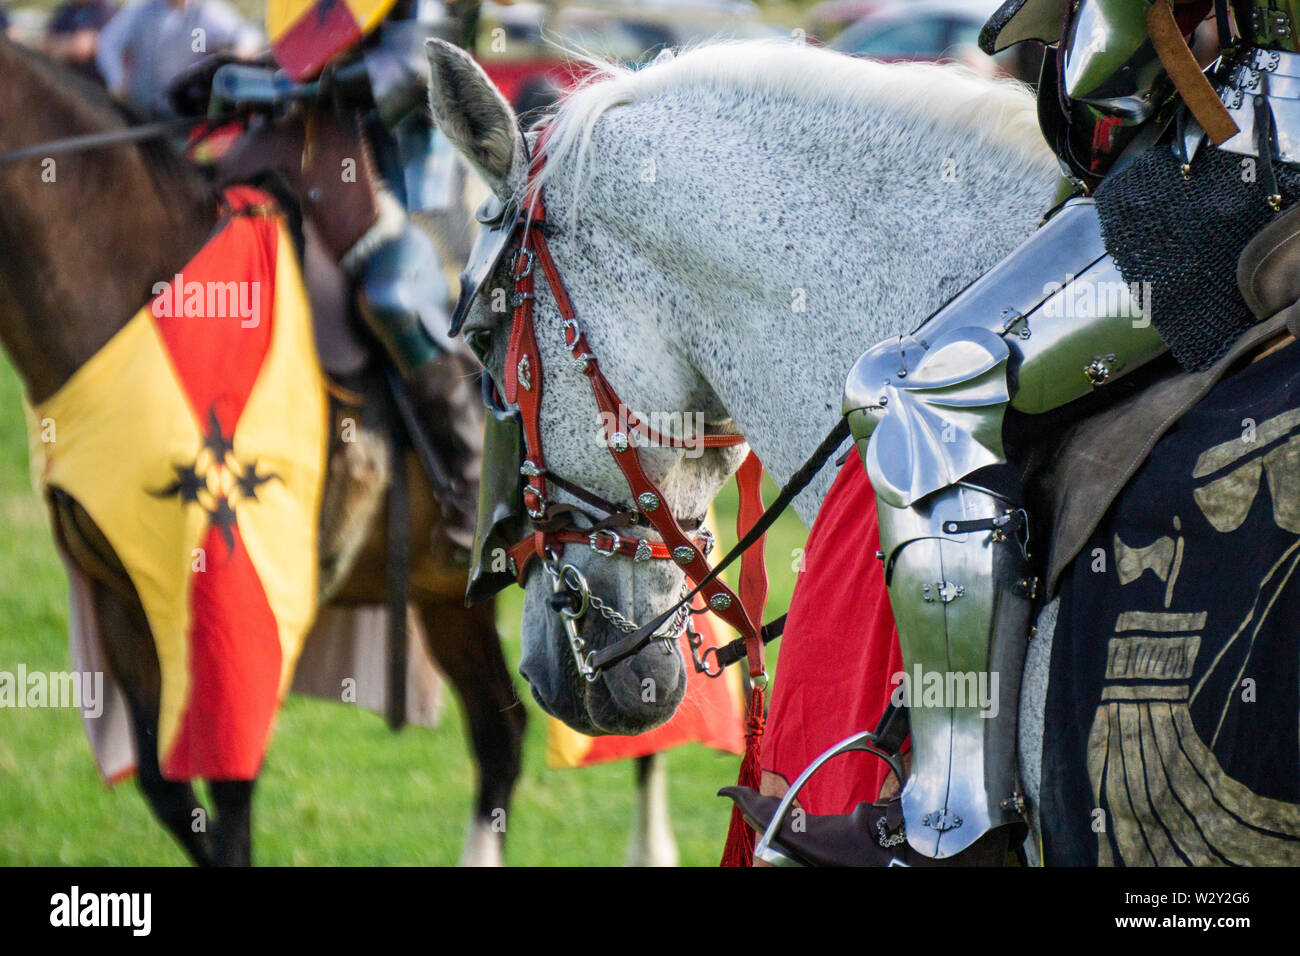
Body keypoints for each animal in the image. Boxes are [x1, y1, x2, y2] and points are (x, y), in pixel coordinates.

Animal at [0, 36, 525, 866]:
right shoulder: (120, 597)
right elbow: (169, 791)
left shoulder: (245, 590)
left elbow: (232, 791)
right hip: (448, 598)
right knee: (501, 732)